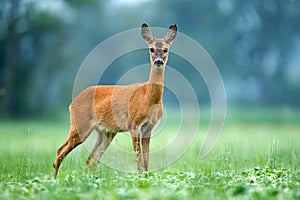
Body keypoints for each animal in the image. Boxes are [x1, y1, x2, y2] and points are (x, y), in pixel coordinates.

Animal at [52, 23, 177, 178]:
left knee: (90, 159)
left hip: (106, 132)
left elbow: (146, 159)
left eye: (166, 49)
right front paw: (140, 178)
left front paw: (146, 177)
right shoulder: (133, 125)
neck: (148, 99)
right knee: (60, 152)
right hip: (80, 125)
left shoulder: (149, 128)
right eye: (151, 49)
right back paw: (53, 180)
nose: (158, 61)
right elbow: (139, 159)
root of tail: (71, 103)